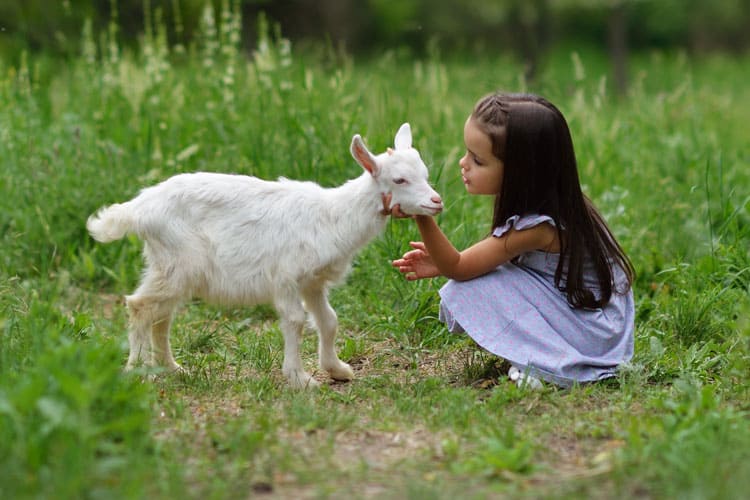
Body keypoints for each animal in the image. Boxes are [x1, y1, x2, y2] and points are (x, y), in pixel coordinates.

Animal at [88, 123, 444, 388]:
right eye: (399, 179)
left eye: (425, 173)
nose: (436, 201)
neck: (332, 216)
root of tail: (138, 208)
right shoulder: (286, 276)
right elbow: (296, 320)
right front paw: (300, 379)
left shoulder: (313, 281)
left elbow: (328, 320)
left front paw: (338, 369)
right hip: (177, 261)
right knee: (140, 306)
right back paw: (138, 370)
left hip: (171, 267)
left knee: (161, 315)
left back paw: (173, 369)